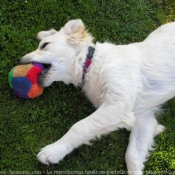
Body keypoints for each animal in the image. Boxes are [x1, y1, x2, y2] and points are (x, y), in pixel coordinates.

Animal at [19, 19, 175, 174]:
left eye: (44, 45)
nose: (20, 61)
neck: (91, 64)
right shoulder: (143, 118)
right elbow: (132, 156)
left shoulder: (118, 103)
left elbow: (80, 126)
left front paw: (54, 150)